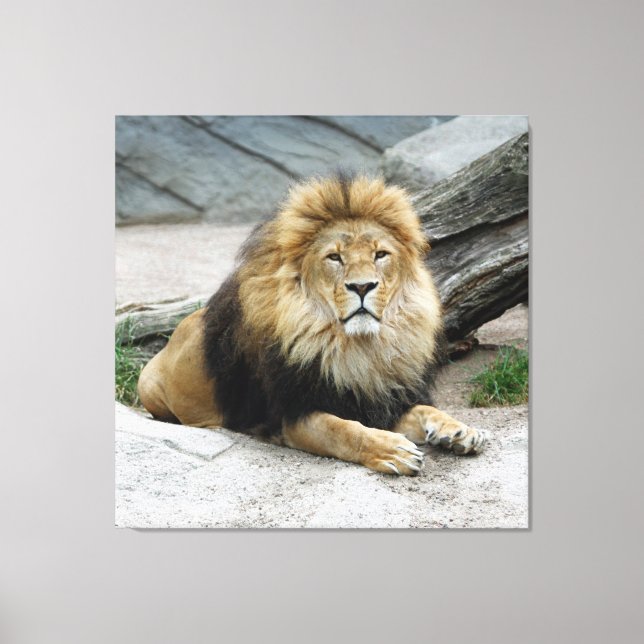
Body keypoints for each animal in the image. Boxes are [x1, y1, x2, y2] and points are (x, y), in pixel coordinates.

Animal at [137, 174, 487, 475]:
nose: (362, 286)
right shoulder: (291, 415)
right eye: (335, 257)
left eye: (380, 255)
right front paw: (393, 450)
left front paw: (459, 430)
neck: (360, 348)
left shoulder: (380, 399)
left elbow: (425, 410)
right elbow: (344, 430)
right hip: (149, 386)